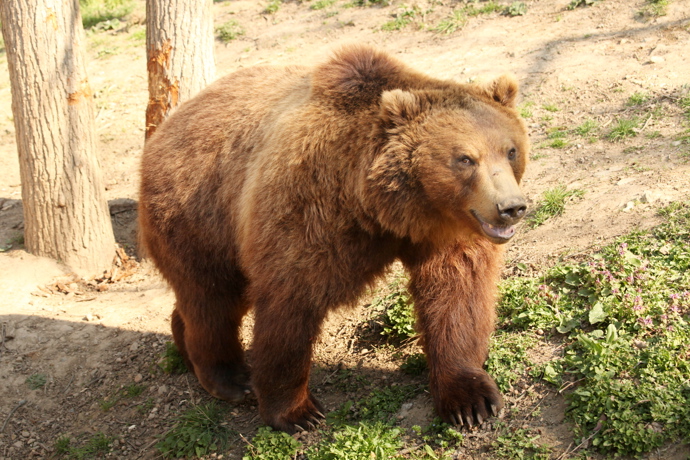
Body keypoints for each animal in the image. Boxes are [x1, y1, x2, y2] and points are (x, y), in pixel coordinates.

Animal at [139, 45, 528, 433]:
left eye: (510, 150)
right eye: (465, 158)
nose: (511, 207)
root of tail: (166, 127)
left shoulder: (443, 231)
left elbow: (455, 293)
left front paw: (471, 401)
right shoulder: (309, 211)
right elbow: (290, 307)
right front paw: (296, 411)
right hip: (199, 214)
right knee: (213, 298)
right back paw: (231, 379)